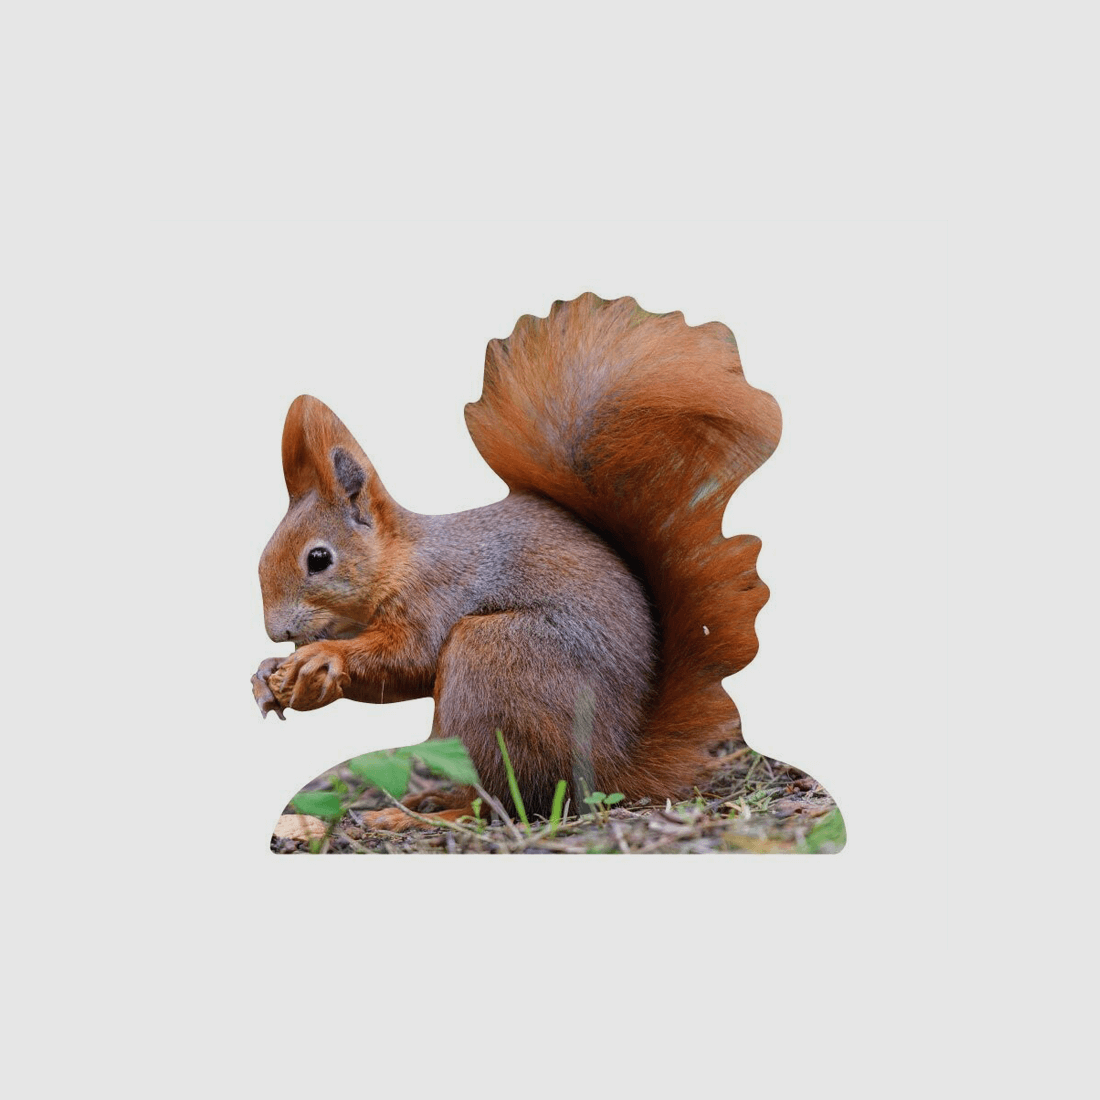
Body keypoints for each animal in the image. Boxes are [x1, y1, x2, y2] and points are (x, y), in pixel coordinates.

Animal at [252, 293, 781, 830]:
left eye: (319, 559)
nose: (276, 632)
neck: (401, 562)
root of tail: (609, 767)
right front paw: (270, 674)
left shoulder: (437, 594)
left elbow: (409, 657)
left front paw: (322, 656)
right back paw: (429, 800)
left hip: (494, 662)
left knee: (505, 802)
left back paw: (422, 816)